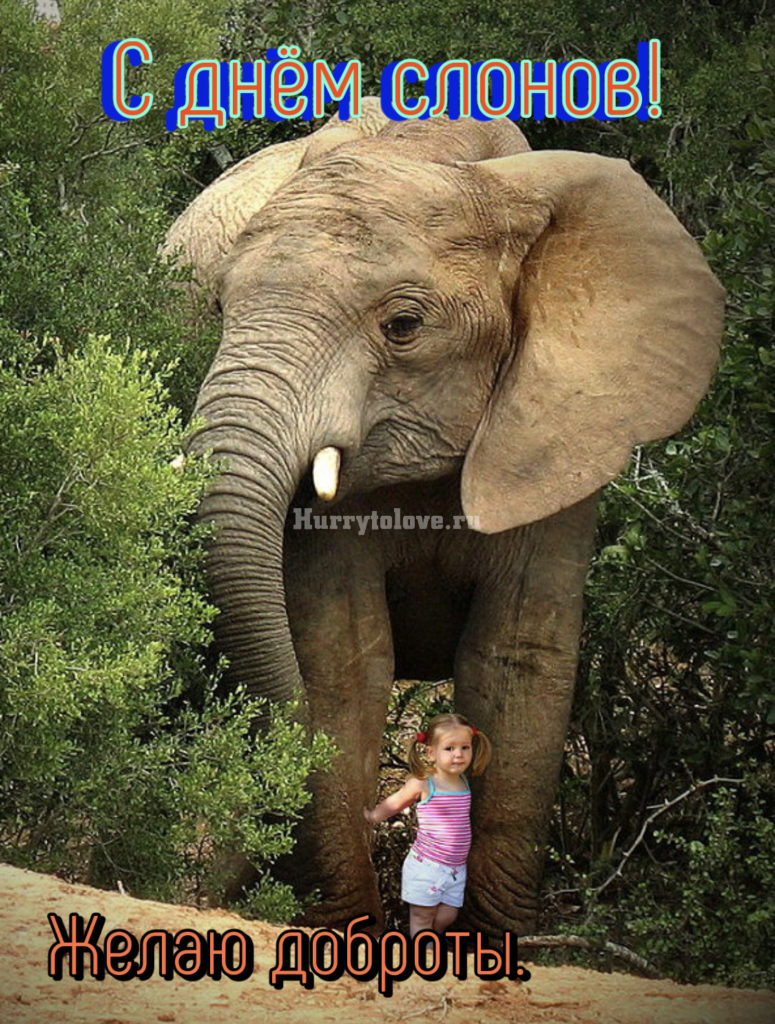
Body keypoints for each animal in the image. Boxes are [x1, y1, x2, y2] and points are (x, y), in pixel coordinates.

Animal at [164, 97, 724, 937]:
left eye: (403, 326)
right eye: (220, 308)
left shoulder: (560, 424)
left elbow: (515, 669)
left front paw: (490, 942)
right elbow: (341, 663)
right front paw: (347, 932)